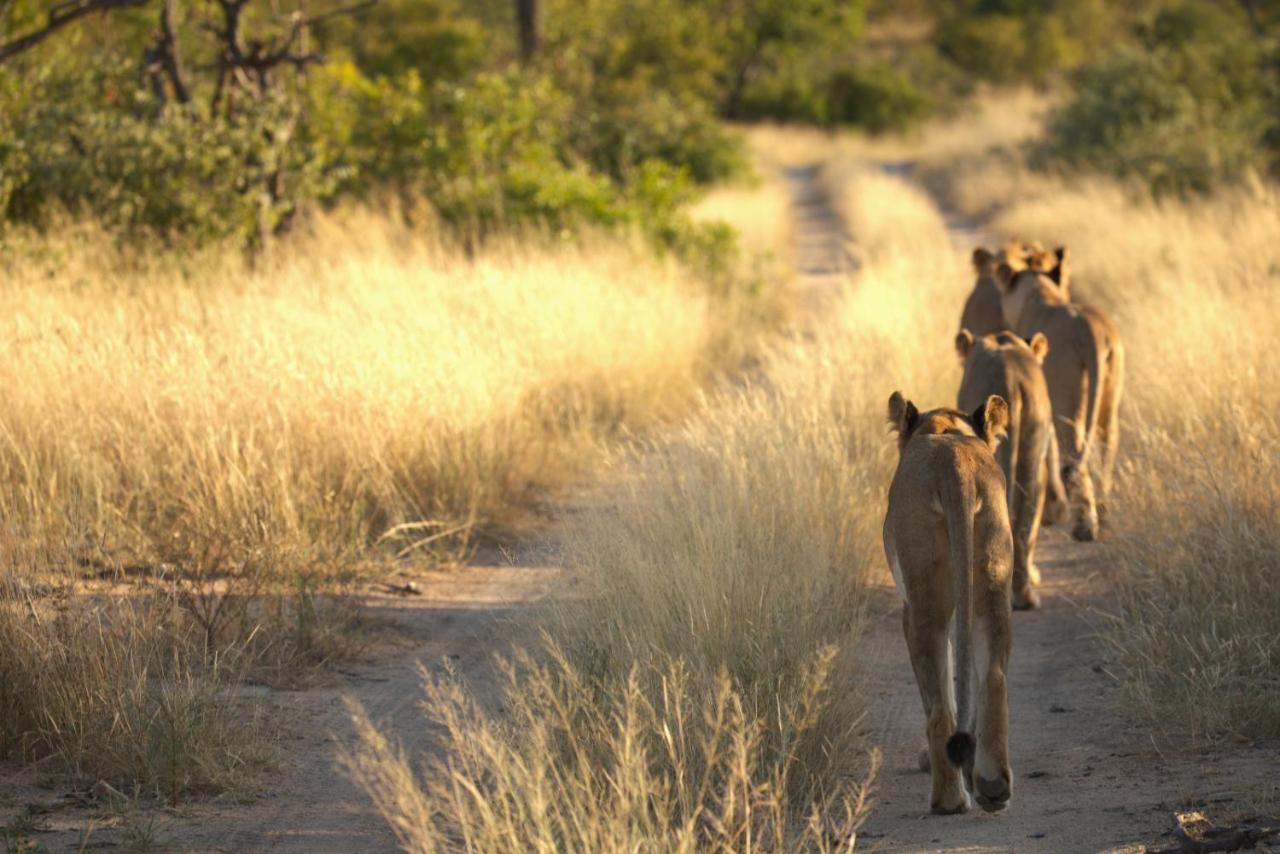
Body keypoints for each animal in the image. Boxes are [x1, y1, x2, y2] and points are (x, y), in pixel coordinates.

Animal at [885, 391, 1013, 814]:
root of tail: (955, 464)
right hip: (993, 575)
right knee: (994, 677)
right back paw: (992, 787)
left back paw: (949, 799)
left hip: (924, 601)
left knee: (939, 709)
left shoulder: (908, 608)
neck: (943, 426)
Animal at [993, 247, 1126, 540]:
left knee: (1073, 447)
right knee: (1107, 439)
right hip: (1109, 389)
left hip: (1066, 393)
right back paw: (1104, 514)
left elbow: (1049, 452)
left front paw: (1051, 513)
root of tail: (1090, 330)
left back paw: (1084, 527)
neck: (1040, 294)